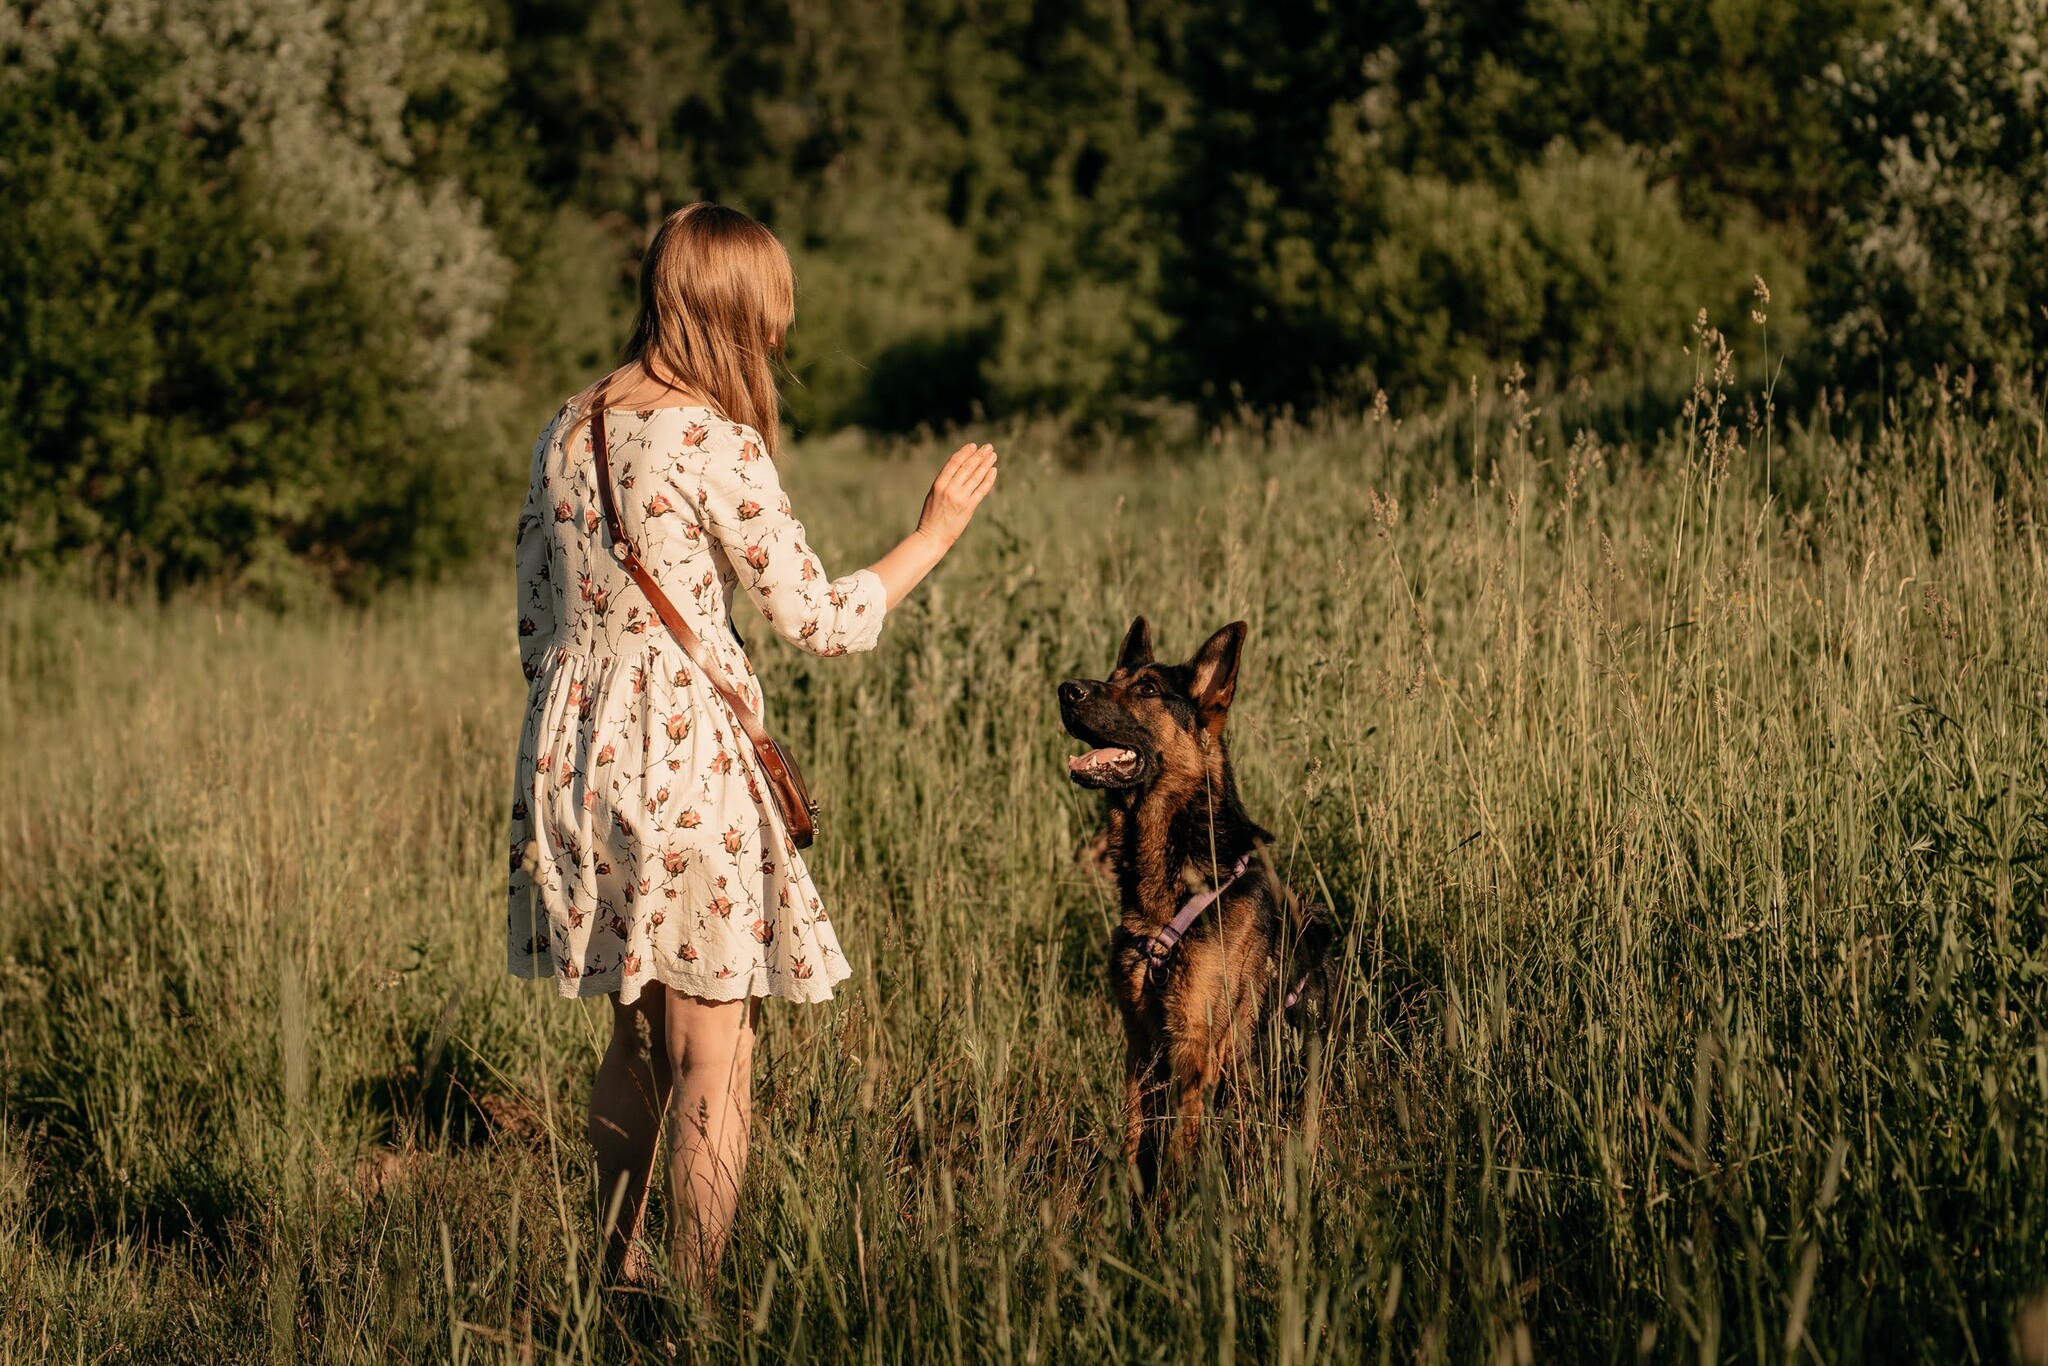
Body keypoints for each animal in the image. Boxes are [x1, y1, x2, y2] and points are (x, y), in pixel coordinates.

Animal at [1064, 614, 1335, 1187]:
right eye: (1111, 677)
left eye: (1147, 690)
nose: (1064, 690)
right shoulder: (1141, 1044)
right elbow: (1136, 1142)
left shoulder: (1195, 1048)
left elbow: (1173, 1161)